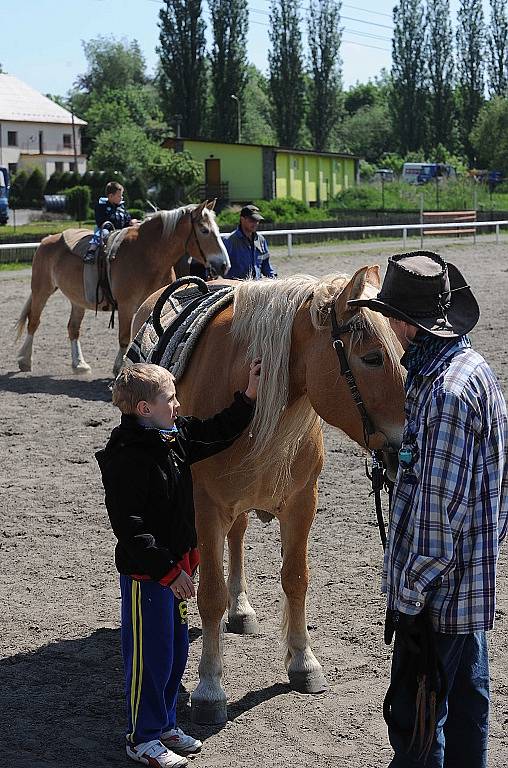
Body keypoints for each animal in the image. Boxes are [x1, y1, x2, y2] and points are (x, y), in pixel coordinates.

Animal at [15, 201, 230, 376]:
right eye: (204, 230)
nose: (223, 265)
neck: (147, 254)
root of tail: (47, 239)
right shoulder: (126, 305)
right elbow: (124, 338)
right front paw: (119, 367)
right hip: (41, 290)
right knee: (34, 322)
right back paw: (25, 360)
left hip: (77, 301)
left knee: (73, 328)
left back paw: (79, 364)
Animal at [131, 268, 404, 724]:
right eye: (371, 358)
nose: (410, 442)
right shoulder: (206, 508)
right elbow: (209, 596)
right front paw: (209, 688)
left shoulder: (302, 504)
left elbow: (296, 579)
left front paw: (303, 662)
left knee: (238, 539)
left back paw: (241, 610)